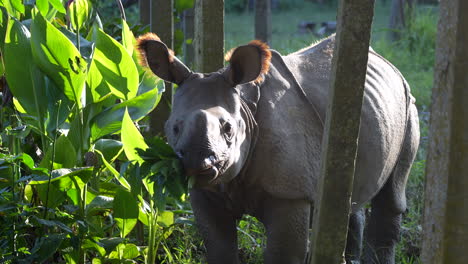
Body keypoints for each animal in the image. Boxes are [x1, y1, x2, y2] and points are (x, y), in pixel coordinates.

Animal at [136, 33, 420, 264]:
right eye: (173, 127)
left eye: (228, 129)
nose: (197, 162)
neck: (246, 107)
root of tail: (387, 63)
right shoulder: (206, 193)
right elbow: (219, 249)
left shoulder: (290, 192)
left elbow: (283, 253)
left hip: (408, 104)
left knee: (392, 193)